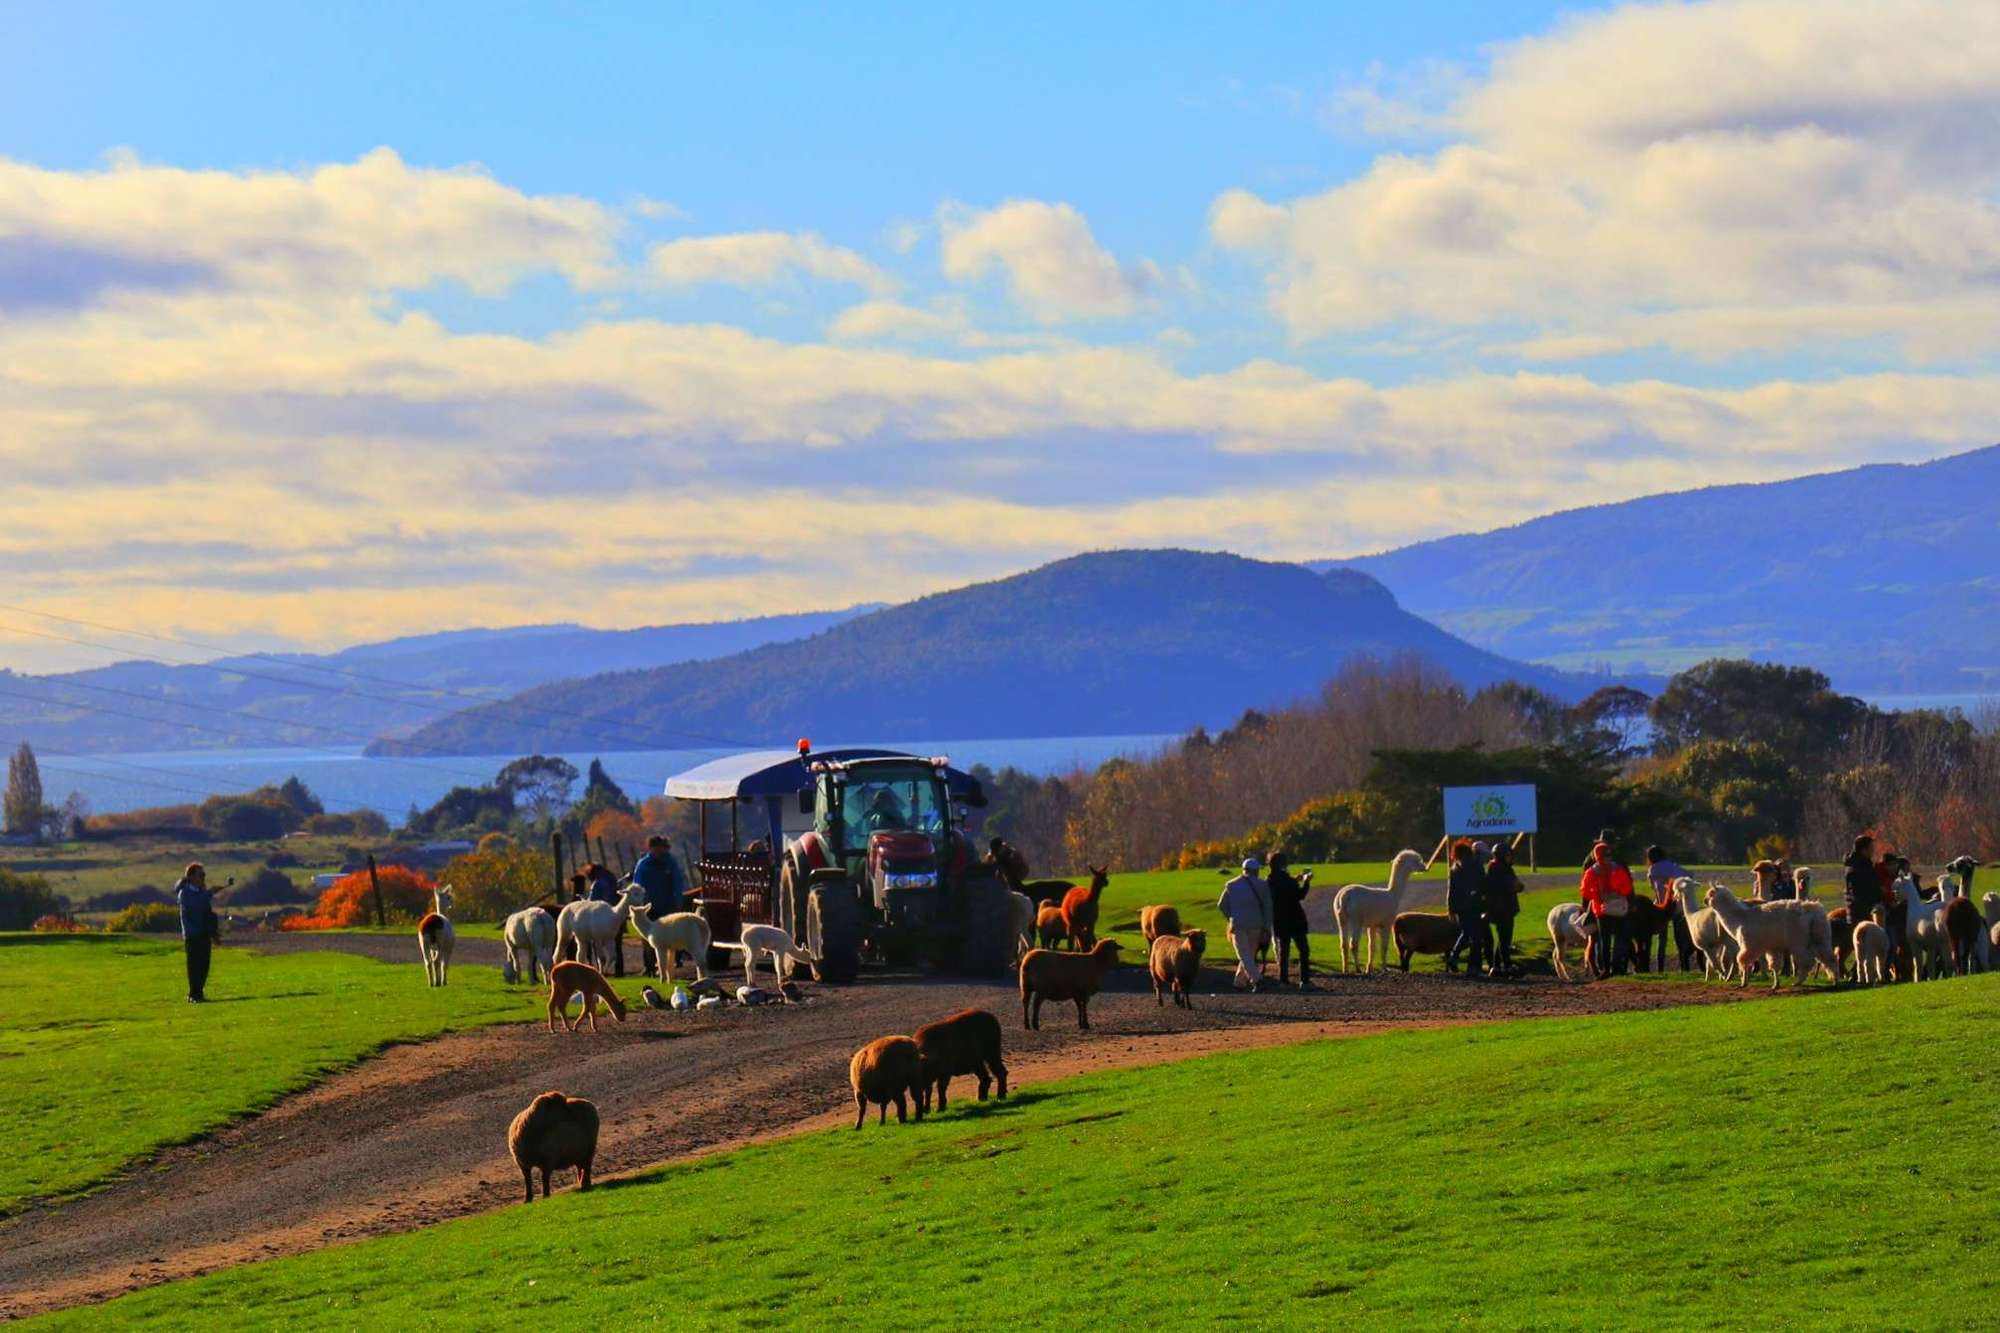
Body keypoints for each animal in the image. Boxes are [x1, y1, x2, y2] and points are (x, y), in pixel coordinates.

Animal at [1336, 844, 1432, 972]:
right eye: (1416, 860)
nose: (1425, 867)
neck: (1393, 894)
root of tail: (1344, 896)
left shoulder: (1372, 925)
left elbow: (1372, 947)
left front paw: (1369, 969)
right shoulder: (1386, 923)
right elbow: (1384, 947)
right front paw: (1385, 968)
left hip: (1341, 918)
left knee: (1343, 944)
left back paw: (1345, 969)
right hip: (1356, 919)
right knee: (1353, 944)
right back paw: (1357, 969)